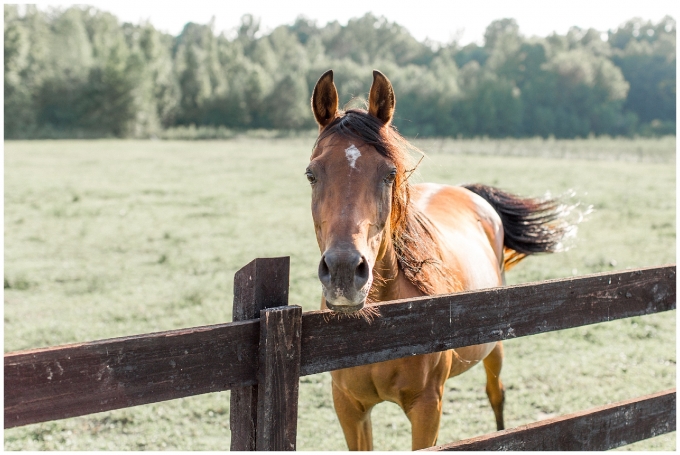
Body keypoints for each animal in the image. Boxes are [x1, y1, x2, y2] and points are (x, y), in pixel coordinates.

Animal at [308, 69, 572, 450]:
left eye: (390, 174)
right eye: (312, 174)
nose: (344, 271)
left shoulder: (427, 407)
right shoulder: (348, 406)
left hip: (494, 348)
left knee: (496, 394)